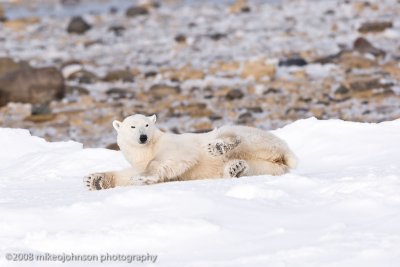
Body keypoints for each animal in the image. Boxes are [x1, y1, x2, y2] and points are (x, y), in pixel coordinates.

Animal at [84, 114, 296, 191]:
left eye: (147, 125)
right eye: (133, 126)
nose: (143, 137)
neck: (147, 149)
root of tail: (285, 153)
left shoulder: (175, 145)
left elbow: (170, 159)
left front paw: (143, 177)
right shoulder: (138, 161)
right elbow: (127, 175)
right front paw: (94, 180)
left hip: (253, 137)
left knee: (237, 136)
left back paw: (219, 147)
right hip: (266, 166)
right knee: (254, 167)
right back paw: (235, 168)